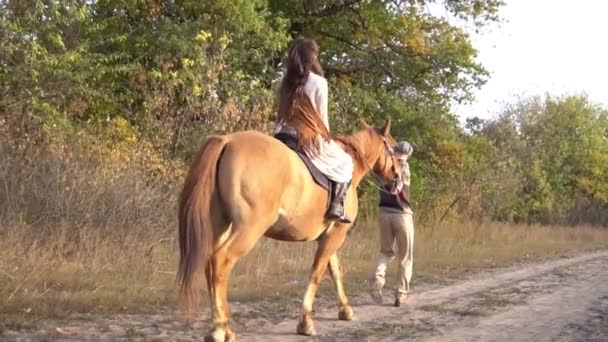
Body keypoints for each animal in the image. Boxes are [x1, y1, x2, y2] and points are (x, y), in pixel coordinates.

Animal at [177, 119, 404, 340]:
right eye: (395, 150)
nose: (398, 180)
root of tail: (227, 140)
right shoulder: (336, 234)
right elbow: (317, 273)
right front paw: (306, 322)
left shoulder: (329, 236)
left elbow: (335, 271)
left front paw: (345, 310)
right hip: (248, 229)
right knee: (220, 262)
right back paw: (220, 328)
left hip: (220, 226)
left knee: (210, 264)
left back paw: (217, 328)